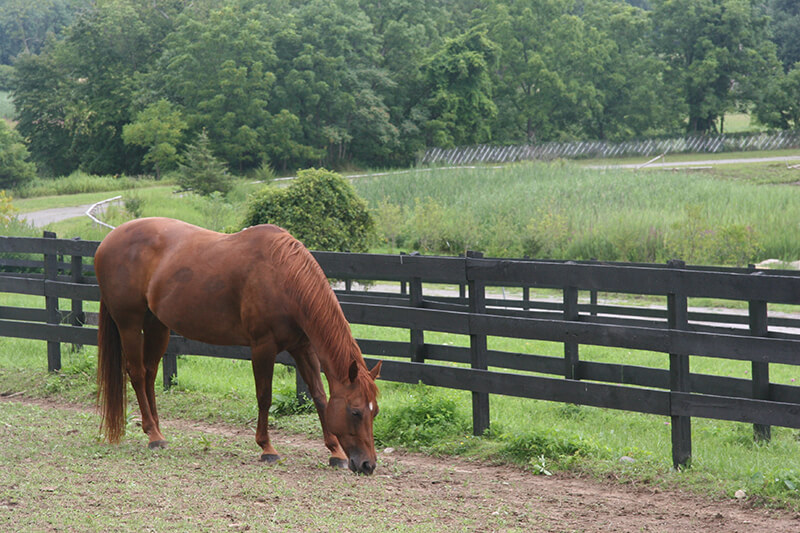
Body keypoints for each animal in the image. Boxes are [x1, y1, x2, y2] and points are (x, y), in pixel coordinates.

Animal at [94, 216, 382, 474]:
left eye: (375, 412)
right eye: (356, 412)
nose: (368, 465)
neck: (283, 278)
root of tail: (107, 241)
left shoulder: (303, 348)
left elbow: (320, 396)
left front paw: (335, 452)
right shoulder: (262, 347)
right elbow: (264, 396)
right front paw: (267, 448)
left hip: (157, 325)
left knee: (150, 373)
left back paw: (157, 430)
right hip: (129, 324)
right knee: (137, 373)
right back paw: (153, 435)